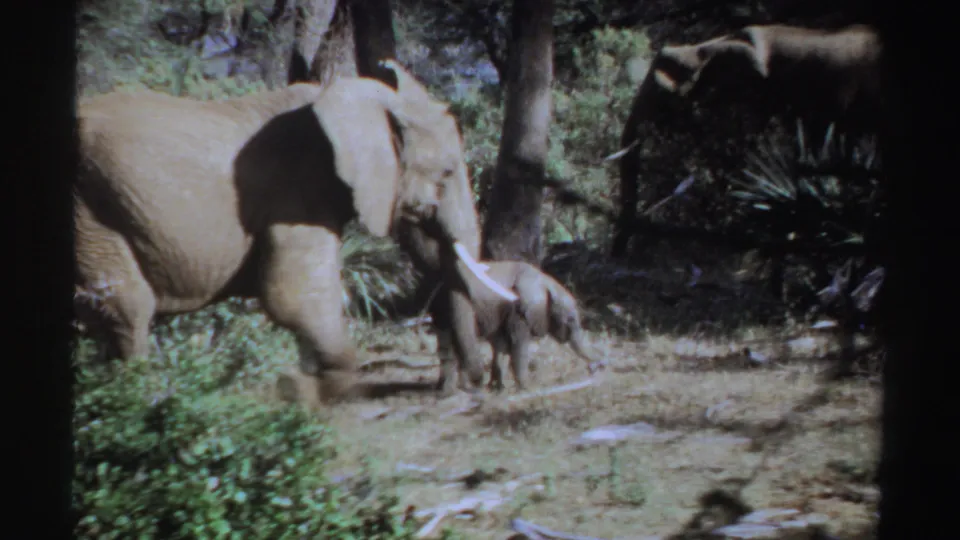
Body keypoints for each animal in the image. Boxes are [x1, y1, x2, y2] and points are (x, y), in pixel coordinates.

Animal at [74, 59, 518, 404]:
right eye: (447, 173)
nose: (478, 383)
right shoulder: (297, 190)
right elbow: (294, 296)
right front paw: (315, 393)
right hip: (90, 210)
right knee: (127, 309)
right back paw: (140, 401)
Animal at [434, 260, 605, 392]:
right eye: (570, 319)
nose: (597, 367)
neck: (545, 282)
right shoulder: (518, 311)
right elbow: (518, 344)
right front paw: (527, 388)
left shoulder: (504, 312)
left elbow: (501, 346)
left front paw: (498, 389)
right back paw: (453, 391)